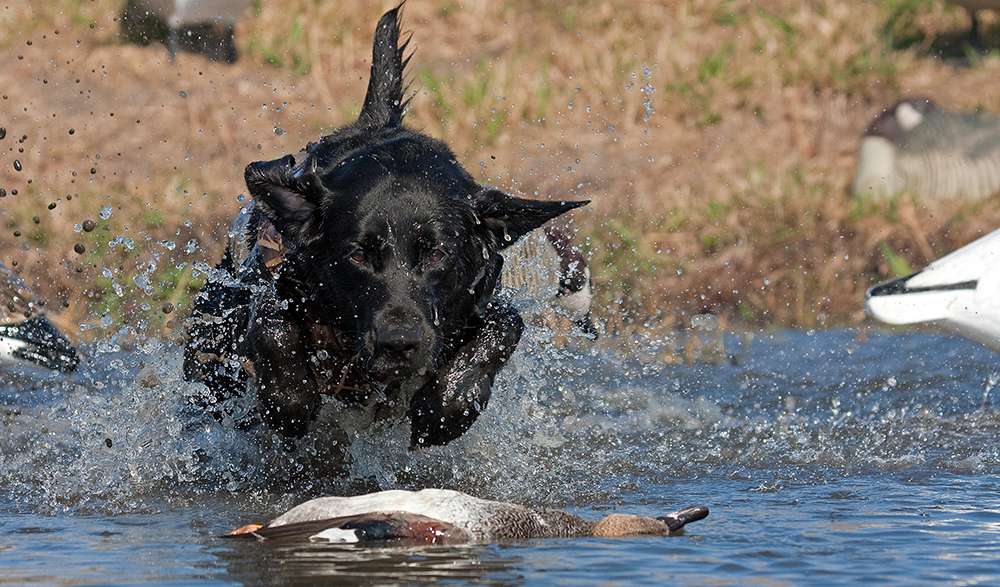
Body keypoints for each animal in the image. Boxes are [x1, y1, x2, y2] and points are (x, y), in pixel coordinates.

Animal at [183, 4, 584, 448]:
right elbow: (271, 325)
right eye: (359, 255)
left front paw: (443, 411)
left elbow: (504, 328)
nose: (399, 344)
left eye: (437, 253)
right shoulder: (276, 281)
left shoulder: (481, 301)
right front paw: (290, 403)